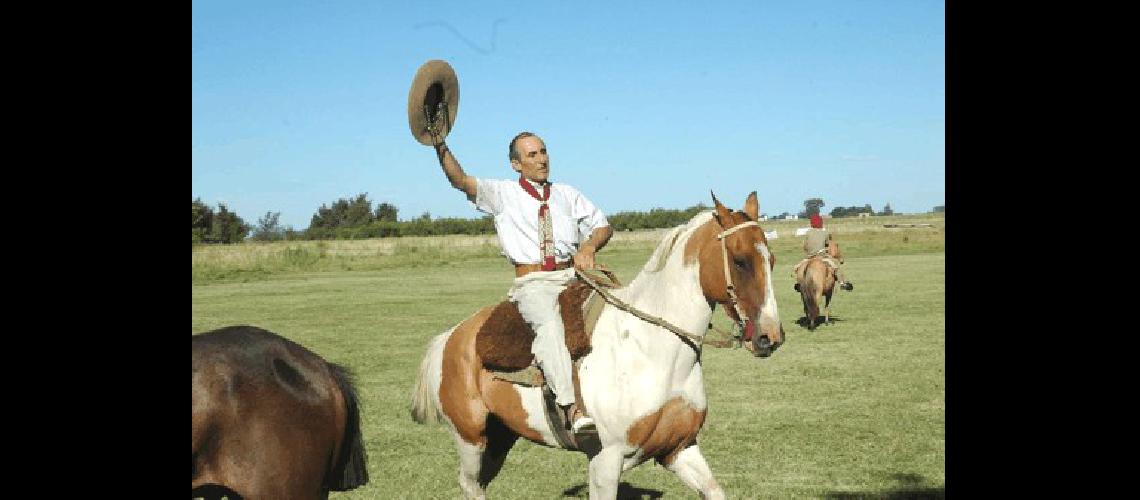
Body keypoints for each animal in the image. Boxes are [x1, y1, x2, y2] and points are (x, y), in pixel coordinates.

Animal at [410, 192, 784, 500]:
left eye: (772, 260)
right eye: (740, 260)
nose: (770, 336)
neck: (652, 351)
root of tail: (450, 338)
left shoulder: (679, 448)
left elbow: (713, 489)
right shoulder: (606, 460)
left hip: (500, 439)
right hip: (470, 439)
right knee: (469, 484)